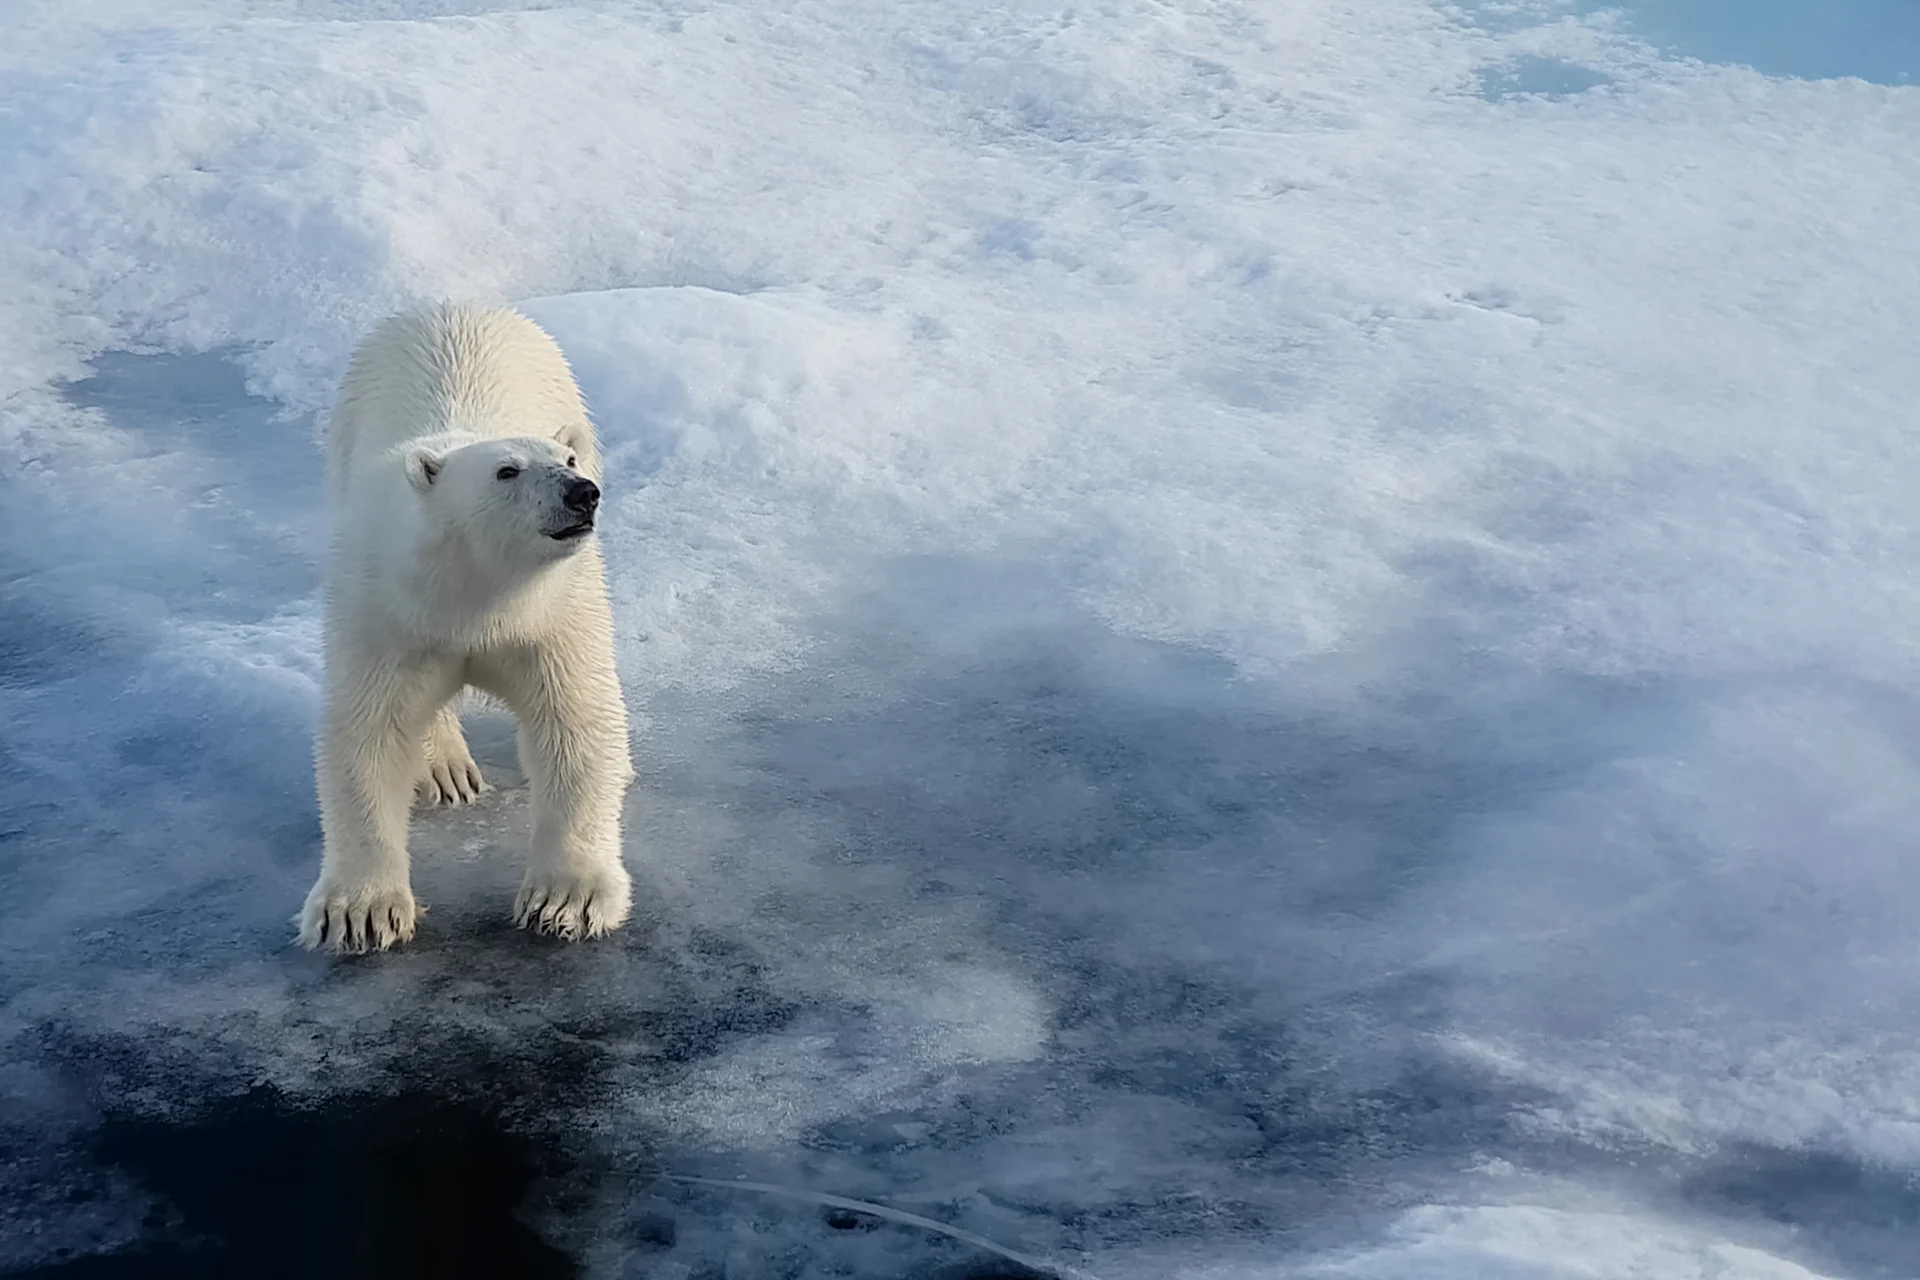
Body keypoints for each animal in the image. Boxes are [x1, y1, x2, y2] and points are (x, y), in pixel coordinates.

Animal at [295, 305, 633, 955]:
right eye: (507, 471)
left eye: (565, 462)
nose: (581, 493)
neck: (476, 597)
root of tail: (451, 304)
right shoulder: (389, 611)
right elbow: (369, 735)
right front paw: (361, 912)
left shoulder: (552, 616)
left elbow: (577, 726)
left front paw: (566, 900)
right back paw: (447, 770)